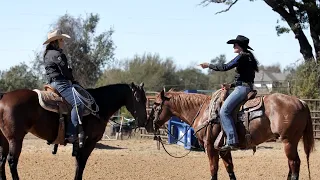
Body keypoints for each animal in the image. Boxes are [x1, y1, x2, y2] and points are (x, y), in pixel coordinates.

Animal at [0, 82, 151, 179]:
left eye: (145, 99)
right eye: (139, 98)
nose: (144, 121)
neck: (98, 106)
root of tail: (3, 96)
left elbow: (78, 165)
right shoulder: (89, 142)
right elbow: (81, 165)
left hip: (5, 140)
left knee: (2, 160)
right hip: (15, 139)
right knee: (12, 161)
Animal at [148, 86, 316, 180]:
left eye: (156, 105)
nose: (149, 124)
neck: (204, 112)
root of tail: (301, 102)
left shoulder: (210, 147)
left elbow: (213, 170)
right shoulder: (223, 149)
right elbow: (230, 169)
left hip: (289, 141)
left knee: (294, 164)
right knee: (291, 165)